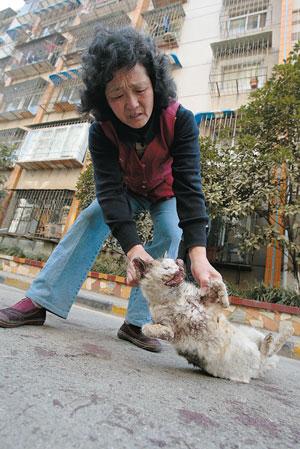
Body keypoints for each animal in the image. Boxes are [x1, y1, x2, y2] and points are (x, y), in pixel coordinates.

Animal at [134, 258, 292, 384]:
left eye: (174, 262)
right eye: (166, 267)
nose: (180, 263)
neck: (175, 297)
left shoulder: (208, 304)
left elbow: (216, 283)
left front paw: (225, 301)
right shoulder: (166, 322)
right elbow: (147, 328)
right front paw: (165, 333)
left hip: (253, 334)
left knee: (270, 351)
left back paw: (283, 332)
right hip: (251, 362)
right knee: (267, 353)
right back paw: (275, 338)